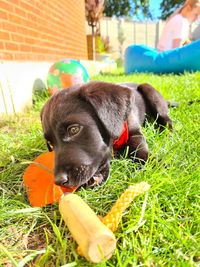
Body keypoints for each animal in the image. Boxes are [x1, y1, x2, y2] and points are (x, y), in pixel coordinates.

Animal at [41, 81, 172, 188]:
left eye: (74, 130)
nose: (59, 181)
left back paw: (167, 133)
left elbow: (140, 149)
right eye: (50, 144)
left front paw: (154, 163)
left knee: (166, 119)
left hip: (150, 91)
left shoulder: (135, 133)